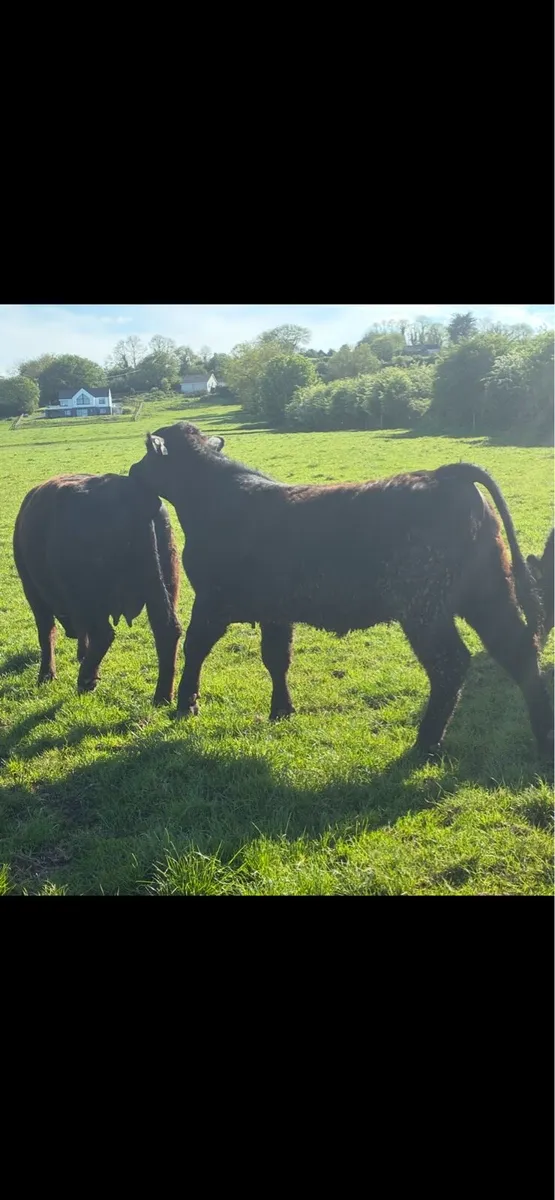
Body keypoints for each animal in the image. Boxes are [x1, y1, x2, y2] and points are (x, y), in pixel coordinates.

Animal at [13, 473, 182, 703]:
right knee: (167, 631)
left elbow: (46, 633)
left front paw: (46, 675)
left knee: (103, 634)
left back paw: (85, 680)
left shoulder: (34, 592)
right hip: (163, 587)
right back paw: (162, 696)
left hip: (88, 598)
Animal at [128, 422, 553, 761]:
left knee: (451, 664)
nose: (132, 470)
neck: (213, 499)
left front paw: (185, 706)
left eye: (147, 452)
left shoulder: (212, 601)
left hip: (424, 609)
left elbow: (195, 649)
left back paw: (425, 744)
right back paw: (543, 741)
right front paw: (281, 711)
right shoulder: (275, 611)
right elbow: (276, 658)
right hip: (488, 594)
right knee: (518, 651)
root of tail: (444, 474)